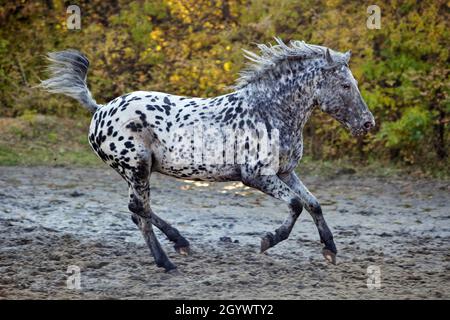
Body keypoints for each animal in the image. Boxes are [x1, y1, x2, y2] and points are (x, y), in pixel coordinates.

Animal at [40, 38, 374, 272]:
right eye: (346, 85)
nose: (367, 123)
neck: (269, 111)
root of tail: (99, 110)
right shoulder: (256, 176)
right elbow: (295, 204)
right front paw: (267, 241)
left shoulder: (285, 172)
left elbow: (313, 203)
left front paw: (330, 250)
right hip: (137, 168)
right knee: (140, 210)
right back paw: (170, 258)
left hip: (134, 173)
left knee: (138, 212)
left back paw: (177, 248)